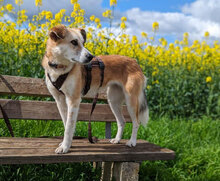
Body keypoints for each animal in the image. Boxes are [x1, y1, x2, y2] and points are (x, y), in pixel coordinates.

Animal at [41, 24, 149, 154]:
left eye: (83, 42)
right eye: (74, 42)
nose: (90, 56)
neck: (59, 68)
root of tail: (135, 62)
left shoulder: (73, 100)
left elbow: (69, 127)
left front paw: (65, 147)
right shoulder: (60, 100)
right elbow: (66, 124)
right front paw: (66, 144)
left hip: (131, 101)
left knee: (136, 122)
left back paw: (132, 142)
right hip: (113, 100)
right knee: (122, 121)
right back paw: (117, 139)